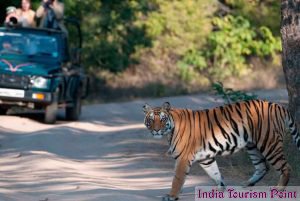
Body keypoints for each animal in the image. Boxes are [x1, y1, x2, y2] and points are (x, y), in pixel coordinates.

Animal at [143, 99, 300, 200]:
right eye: (150, 120)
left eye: (162, 119)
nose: (156, 130)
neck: (170, 130)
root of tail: (279, 106)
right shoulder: (206, 158)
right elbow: (215, 174)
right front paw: (221, 189)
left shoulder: (183, 158)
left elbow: (177, 179)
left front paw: (171, 196)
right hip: (252, 146)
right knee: (263, 167)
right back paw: (246, 184)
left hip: (269, 143)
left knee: (286, 167)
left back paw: (279, 189)